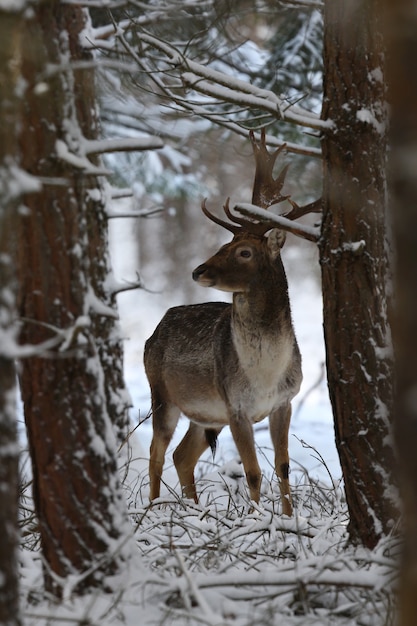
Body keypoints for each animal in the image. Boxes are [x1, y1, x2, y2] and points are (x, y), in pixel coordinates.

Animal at [145, 129, 300, 516]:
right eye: (225, 243)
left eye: (244, 251)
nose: (198, 270)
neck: (265, 375)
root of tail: (152, 334)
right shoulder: (236, 407)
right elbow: (253, 472)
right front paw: (259, 520)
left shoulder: (285, 401)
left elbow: (283, 466)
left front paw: (291, 519)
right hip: (161, 392)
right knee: (156, 452)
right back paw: (153, 509)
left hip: (206, 415)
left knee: (181, 455)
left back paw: (195, 511)